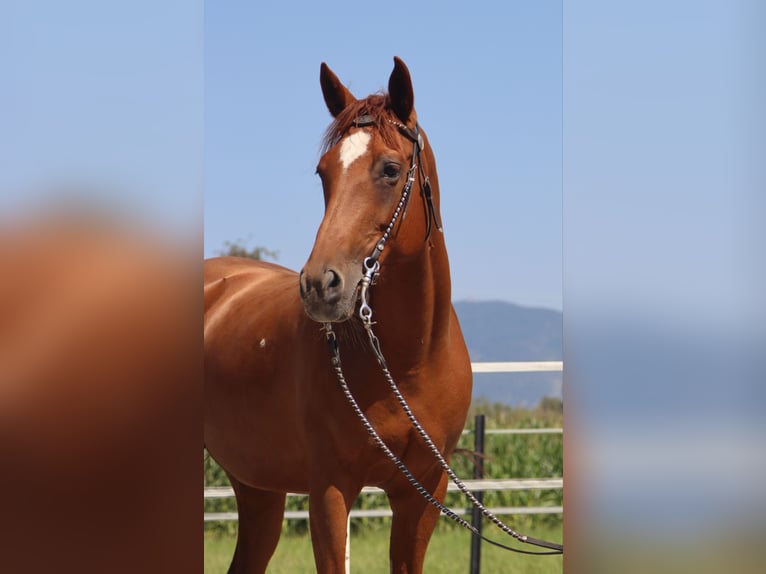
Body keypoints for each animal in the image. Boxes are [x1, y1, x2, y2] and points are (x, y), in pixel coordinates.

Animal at [204, 56, 474, 572]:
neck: (407, 365)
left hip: (257, 487)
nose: (319, 285)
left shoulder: (423, 495)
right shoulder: (330, 490)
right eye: (323, 172)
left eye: (390, 169)